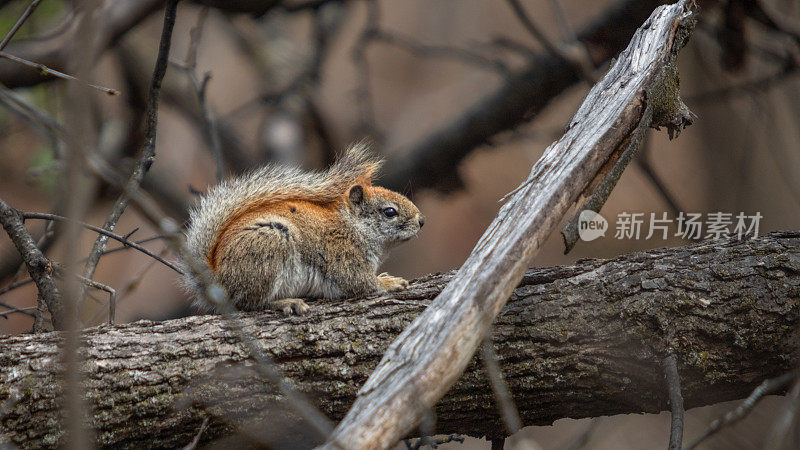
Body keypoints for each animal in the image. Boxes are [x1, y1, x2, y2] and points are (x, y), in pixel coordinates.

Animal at [183, 142, 424, 314]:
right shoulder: (343, 256)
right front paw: (388, 282)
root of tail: (218, 282)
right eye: (390, 212)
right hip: (268, 249)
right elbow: (361, 283)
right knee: (251, 303)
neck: (352, 227)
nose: (421, 221)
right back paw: (285, 302)